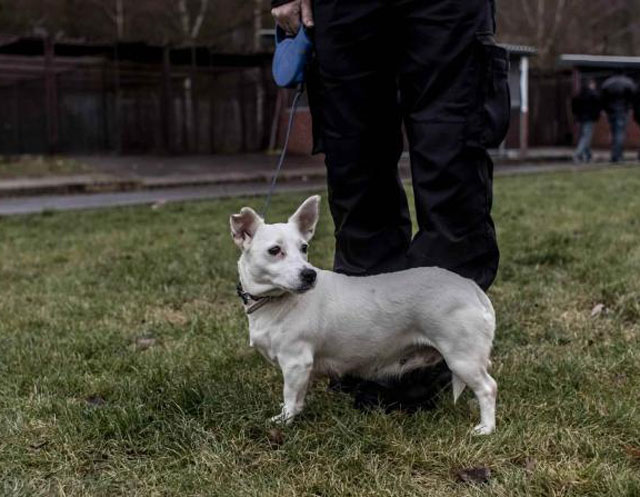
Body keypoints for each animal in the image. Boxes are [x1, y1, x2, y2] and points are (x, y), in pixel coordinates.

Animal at [232, 194, 498, 434]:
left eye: (303, 248)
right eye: (275, 250)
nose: (309, 275)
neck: (278, 302)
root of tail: (470, 287)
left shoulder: (296, 363)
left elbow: (289, 395)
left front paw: (284, 420)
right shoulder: (300, 370)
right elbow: (297, 397)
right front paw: (292, 413)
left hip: (461, 358)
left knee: (488, 388)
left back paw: (486, 428)